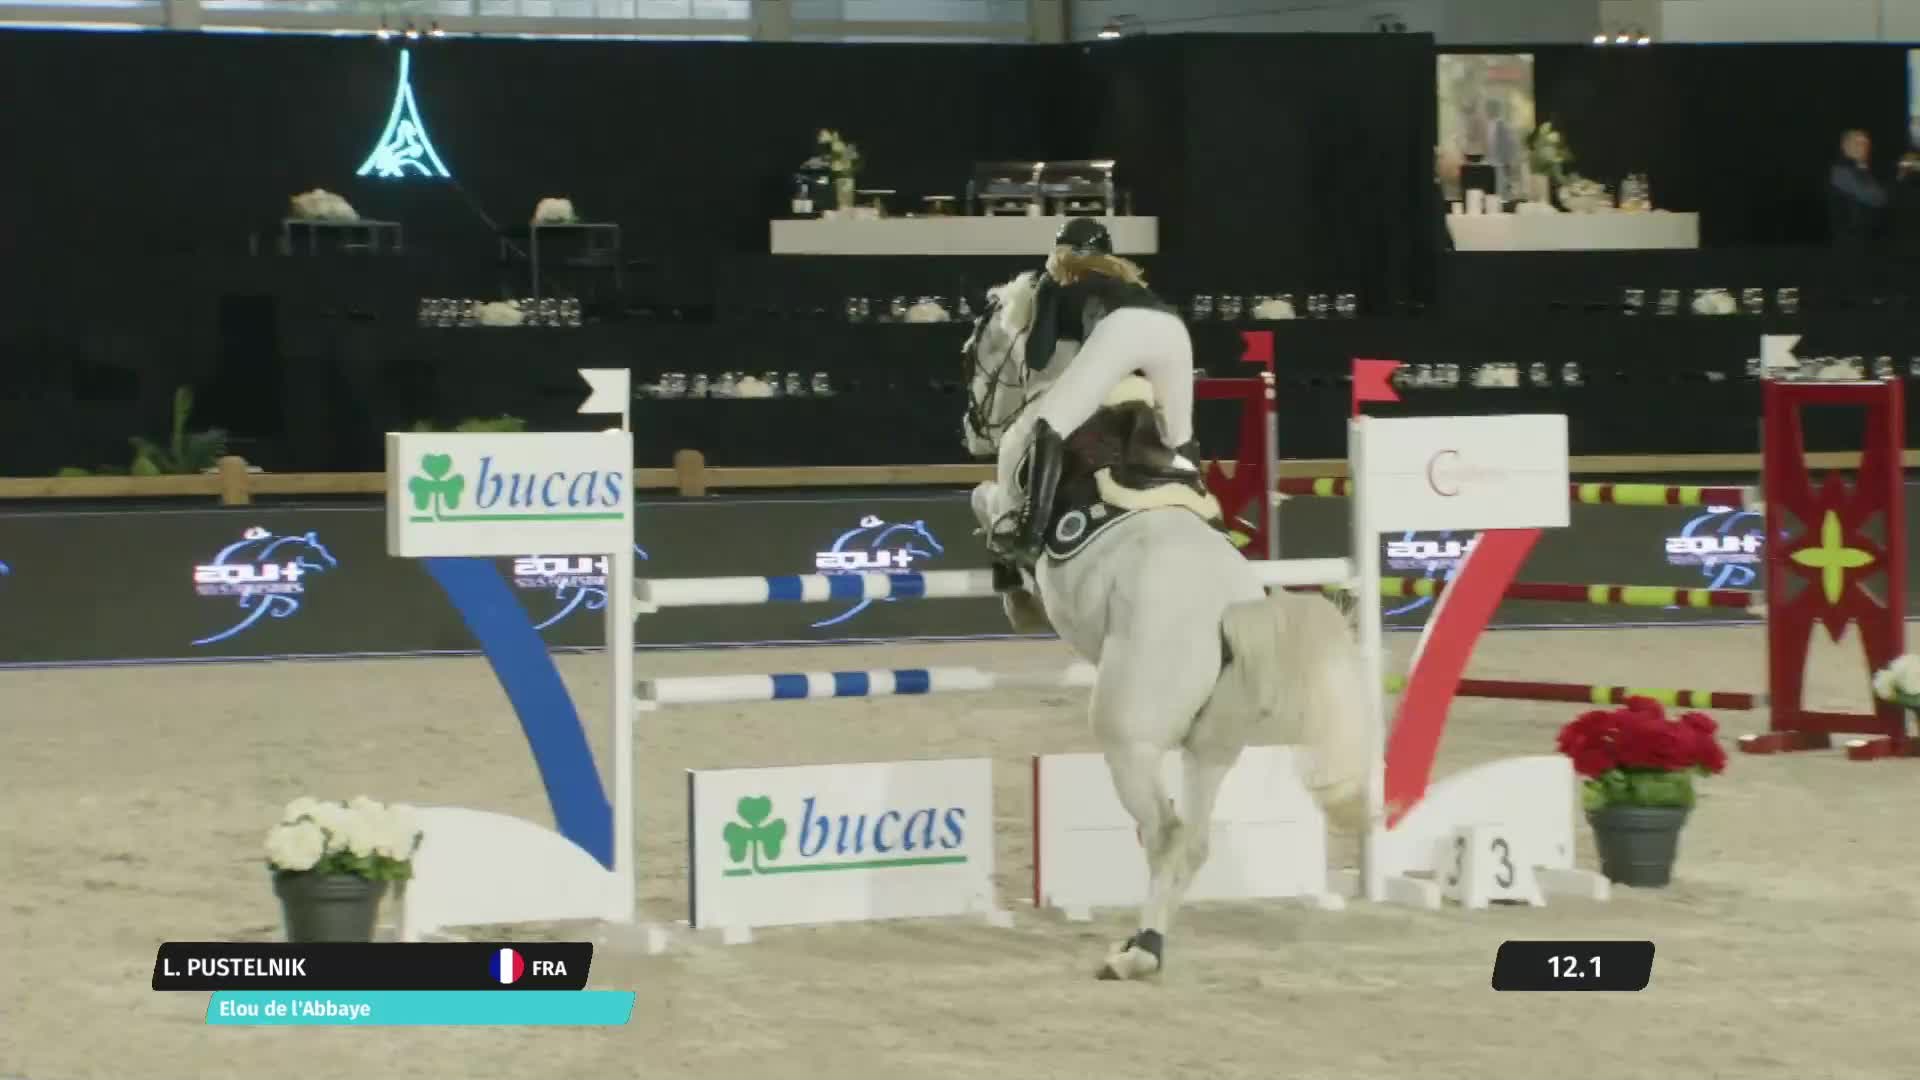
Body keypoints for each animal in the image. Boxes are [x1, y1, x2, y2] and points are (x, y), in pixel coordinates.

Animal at [961, 271, 1376, 980]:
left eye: (976, 349)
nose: (969, 426)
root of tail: (1233, 612)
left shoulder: (1012, 476)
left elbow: (985, 503)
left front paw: (1015, 589)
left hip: (1128, 735)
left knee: (1165, 831)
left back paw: (1138, 953)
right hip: (1212, 745)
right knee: (1195, 837)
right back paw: (1144, 944)